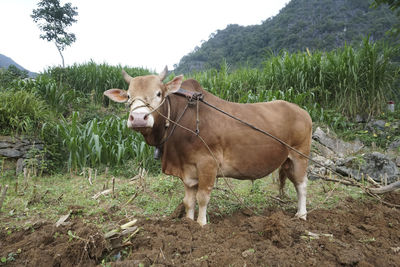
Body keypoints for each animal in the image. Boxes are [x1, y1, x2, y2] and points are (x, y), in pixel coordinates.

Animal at [103, 67, 312, 226]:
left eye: (158, 93)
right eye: (128, 96)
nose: (139, 118)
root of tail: (302, 111)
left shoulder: (208, 164)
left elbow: (202, 198)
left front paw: (201, 224)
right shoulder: (187, 170)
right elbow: (188, 201)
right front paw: (188, 222)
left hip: (300, 156)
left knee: (302, 185)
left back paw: (301, 215)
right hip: (287, 160)